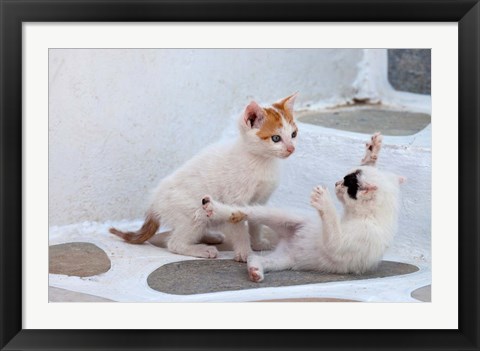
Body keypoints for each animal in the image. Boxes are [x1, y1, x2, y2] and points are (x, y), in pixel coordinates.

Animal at [110, 93, 300, 262]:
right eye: (276, 138)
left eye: (294, 134)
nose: (291, 149)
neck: (261, 161)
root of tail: (154, 203)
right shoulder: (235, 199)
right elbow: (239, 228)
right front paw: (245, 253)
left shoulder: (260, 200)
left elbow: (256, 222)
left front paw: (258, 243)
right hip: (194, 212)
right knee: (174, 243)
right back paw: (202, 250)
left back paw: (210, 236)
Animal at [201, 133, 404, 282]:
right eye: (345, 177)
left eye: (347, 183)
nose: (336, 183)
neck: (367, 216)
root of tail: (286, 242)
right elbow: (369, 165)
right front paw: (372, 151)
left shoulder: (348, 242)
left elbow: (334, 234)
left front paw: (324, 200)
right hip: (283, 217)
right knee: (248, 213)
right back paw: (218, 209)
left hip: (283, 260)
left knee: (257, 257)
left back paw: (255, 269)